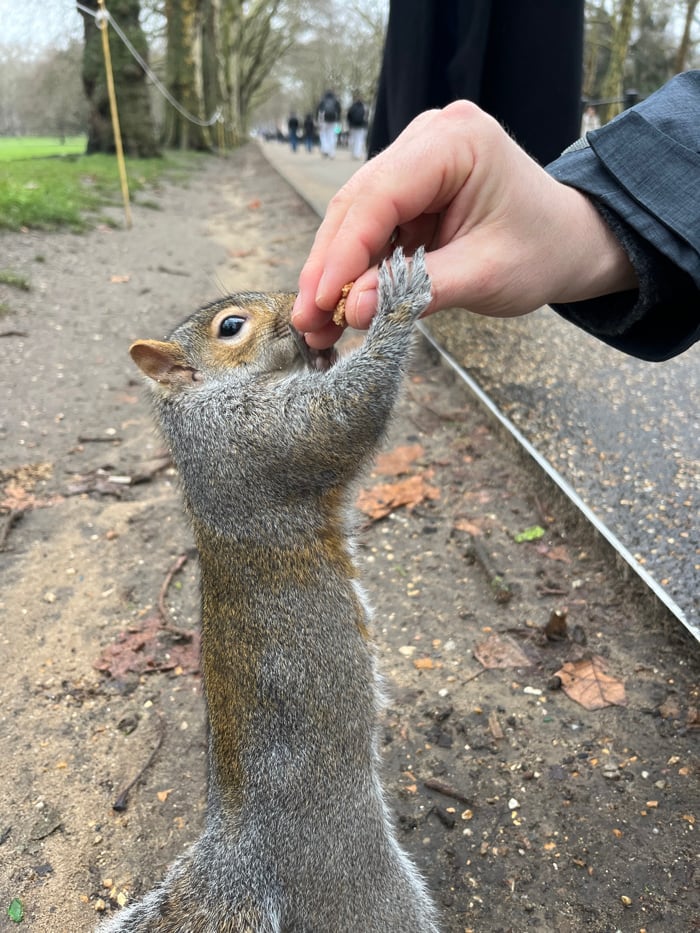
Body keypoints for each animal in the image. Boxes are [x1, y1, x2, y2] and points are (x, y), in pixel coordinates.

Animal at [98, 247, 440, 933]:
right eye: (231, 326)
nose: (298, 306)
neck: (201, 404)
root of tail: (241, 861)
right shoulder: (253, 437)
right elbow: (342, 413)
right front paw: (396, 304)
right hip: (359, 882)